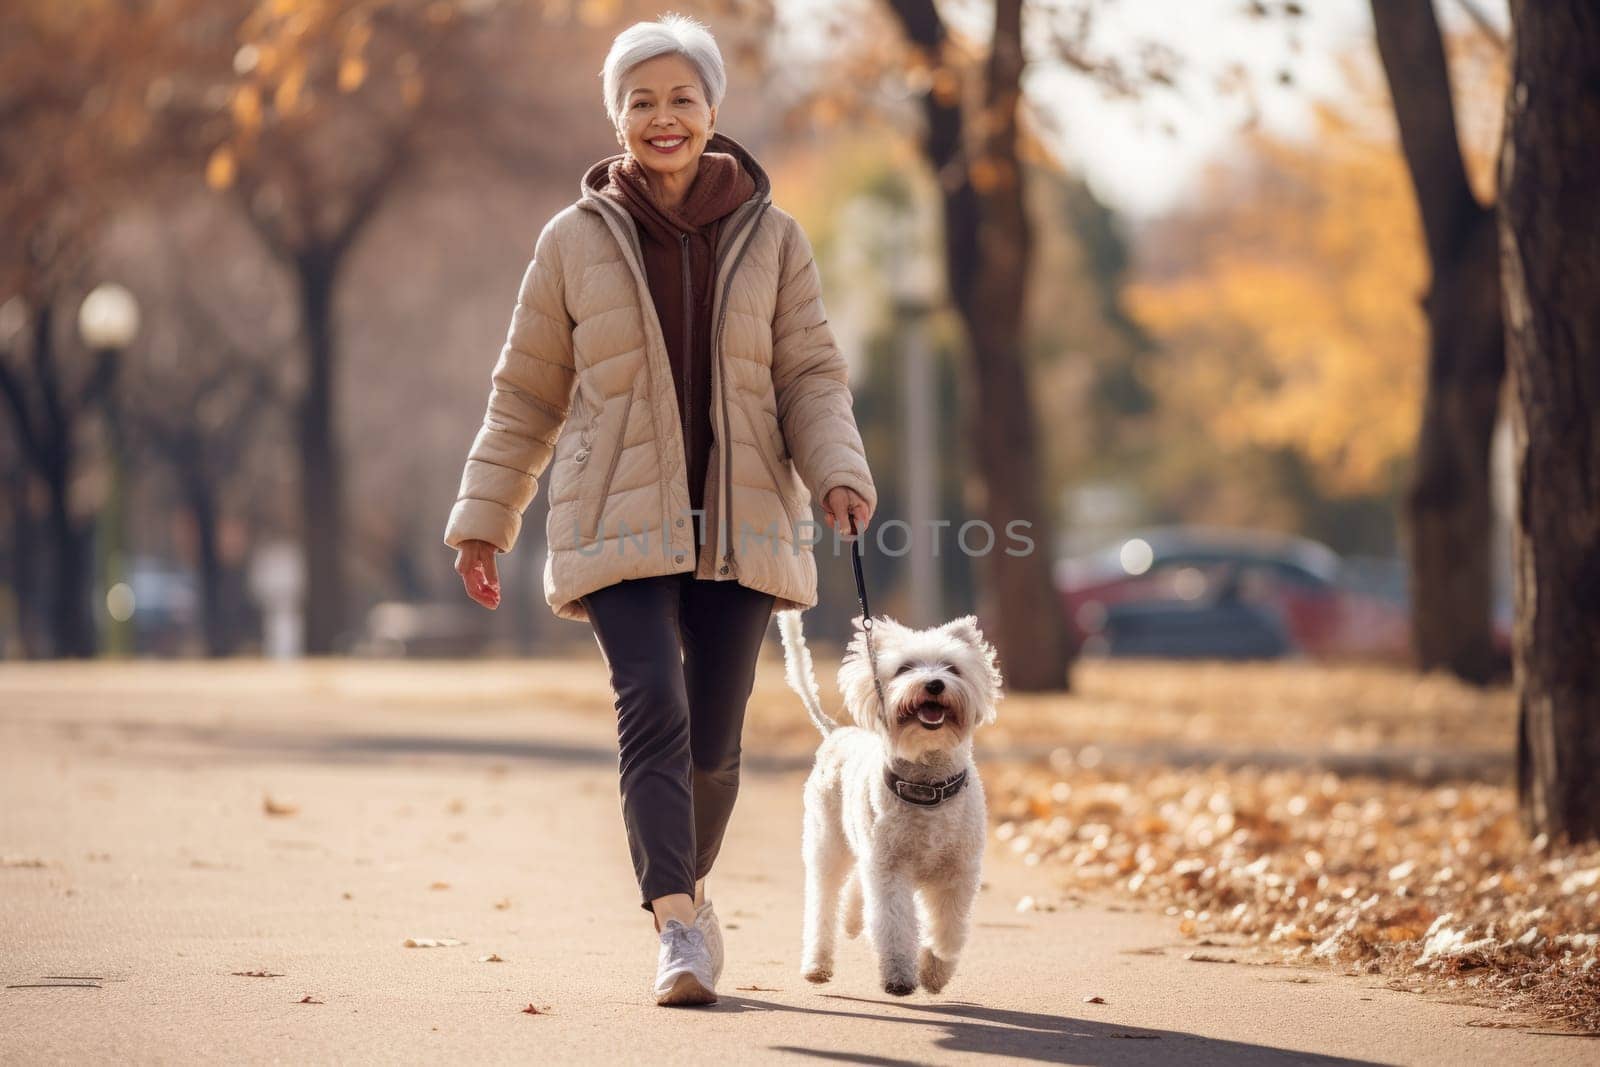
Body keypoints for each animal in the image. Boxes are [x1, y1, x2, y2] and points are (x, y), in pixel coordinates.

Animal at [774, 607, 998, 1004]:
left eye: (952, 668)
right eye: (905, 668)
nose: (934, 684)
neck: (927, 787)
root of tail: (837, 732)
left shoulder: (958, 872)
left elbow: (949, 928)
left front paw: (935, 969)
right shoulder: (890, 871)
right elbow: (893, 924)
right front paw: (899, 977)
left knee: (854, 890)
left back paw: (852, 921)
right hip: (827, 846)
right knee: (822, 904)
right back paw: (818, 962)